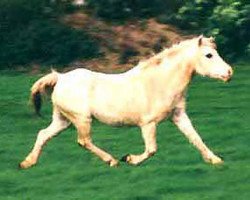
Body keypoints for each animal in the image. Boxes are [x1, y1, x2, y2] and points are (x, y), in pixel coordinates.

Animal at [19, 35, 232, 169]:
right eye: (209, 55)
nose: (229, 72)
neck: (160, 82)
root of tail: (61, 78)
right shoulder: (148, 124)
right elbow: (151, 150)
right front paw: (129, 159)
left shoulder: (178, 116)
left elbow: (196, 137)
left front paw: (215, 160)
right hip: (81, 119)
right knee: (84, 141)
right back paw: (112, 161)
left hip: (63, 120)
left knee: (43, 134)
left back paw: (27, 163)